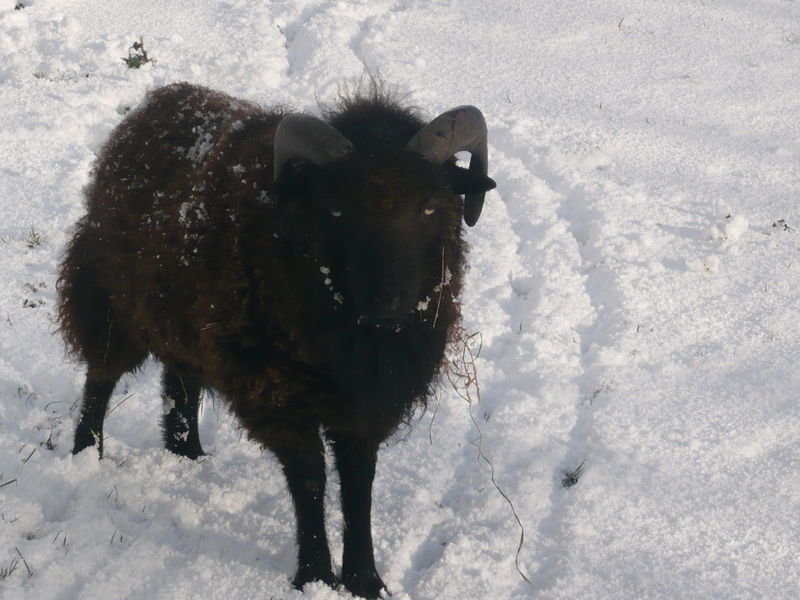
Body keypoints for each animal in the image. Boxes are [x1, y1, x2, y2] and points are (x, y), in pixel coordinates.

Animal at [57, 82, 494, 596]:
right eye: (336, 208)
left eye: (430, 205)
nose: (388, 302)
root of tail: (160, 97)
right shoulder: (278, 392)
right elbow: (309, 480)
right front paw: (315, 575)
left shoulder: (366, 402)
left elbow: (358, 483)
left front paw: (365, 580)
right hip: (110, 295)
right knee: (101, 374)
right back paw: (86, 454)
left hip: (185, 318)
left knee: (180, 378)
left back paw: (187, 453)